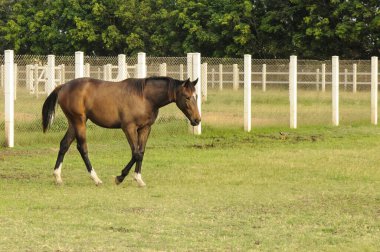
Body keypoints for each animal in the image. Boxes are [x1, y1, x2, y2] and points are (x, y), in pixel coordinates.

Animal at [41, 76, 200, 186]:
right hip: (79, 122)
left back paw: (58, 177)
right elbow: (135, 153)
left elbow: (141, 153)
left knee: (64, 145)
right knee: (82, 148)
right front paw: (120, 177)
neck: (145, 97)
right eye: (187, 97)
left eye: (196, 96)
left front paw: (139, 179)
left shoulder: (145, 128)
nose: (197, 120)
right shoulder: (129, 128)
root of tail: (63, 86)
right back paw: (96, 179)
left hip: (74, 123)